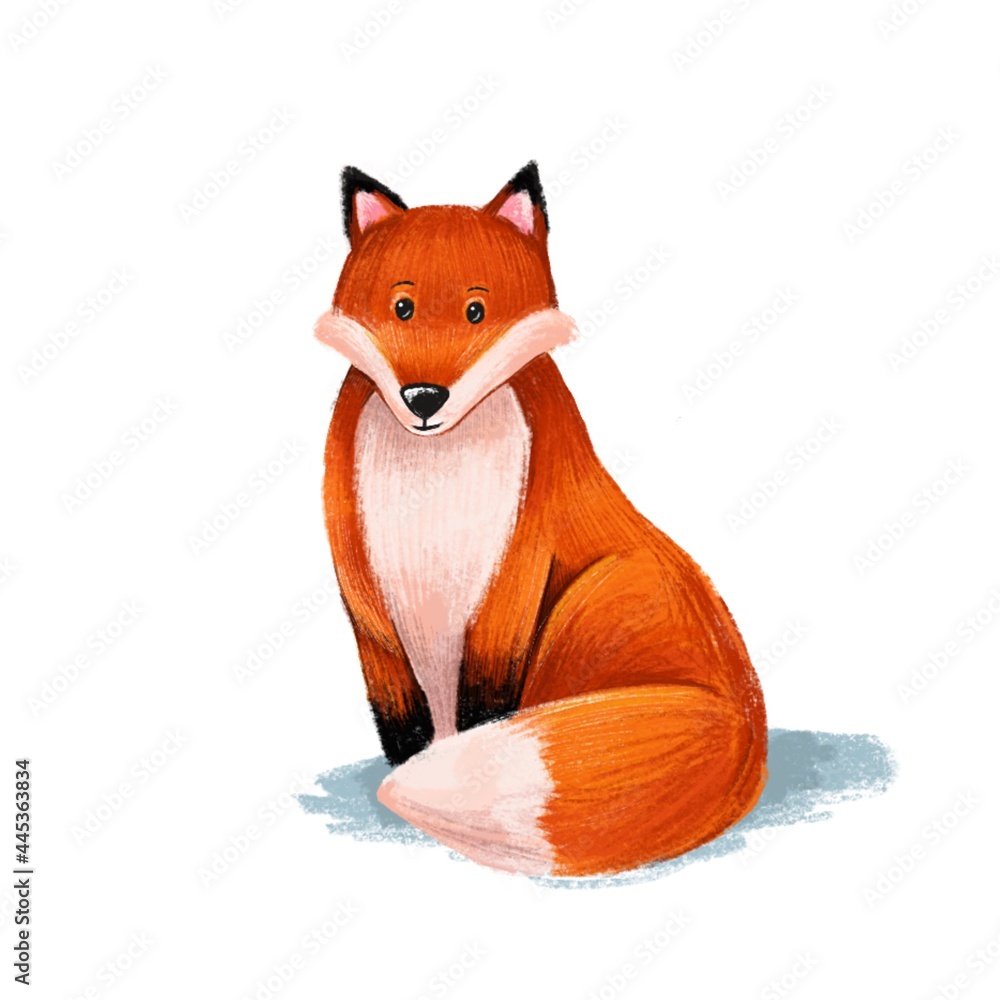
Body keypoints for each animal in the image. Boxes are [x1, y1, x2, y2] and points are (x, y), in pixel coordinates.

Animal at [315, 162, 767, 877]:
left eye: (476, 310)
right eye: (402, 307)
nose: (424, 398)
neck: (433, 497)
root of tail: (749, 719)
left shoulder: (513, 580)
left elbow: (483, 706)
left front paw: (438, 774)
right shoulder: (369, 607)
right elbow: (400, 720)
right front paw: (412, 766)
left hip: (588, 600)